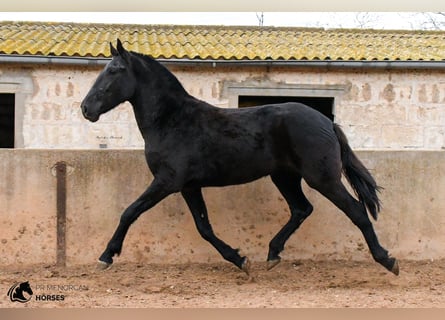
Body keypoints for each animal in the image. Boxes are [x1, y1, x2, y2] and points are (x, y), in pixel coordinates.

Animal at [80, 38, 398, 276]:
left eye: (114, 70)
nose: (86, 108)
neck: (172, 120)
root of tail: (326, 122)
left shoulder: (167, 181)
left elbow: (130, 211)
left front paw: (106, 256)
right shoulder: (188, 186)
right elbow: (204, 227)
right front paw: (240, 259)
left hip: (322, 178)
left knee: (356, 210)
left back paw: (387, 260)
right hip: (285, 177)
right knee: (301, 209)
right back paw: (272, 254)